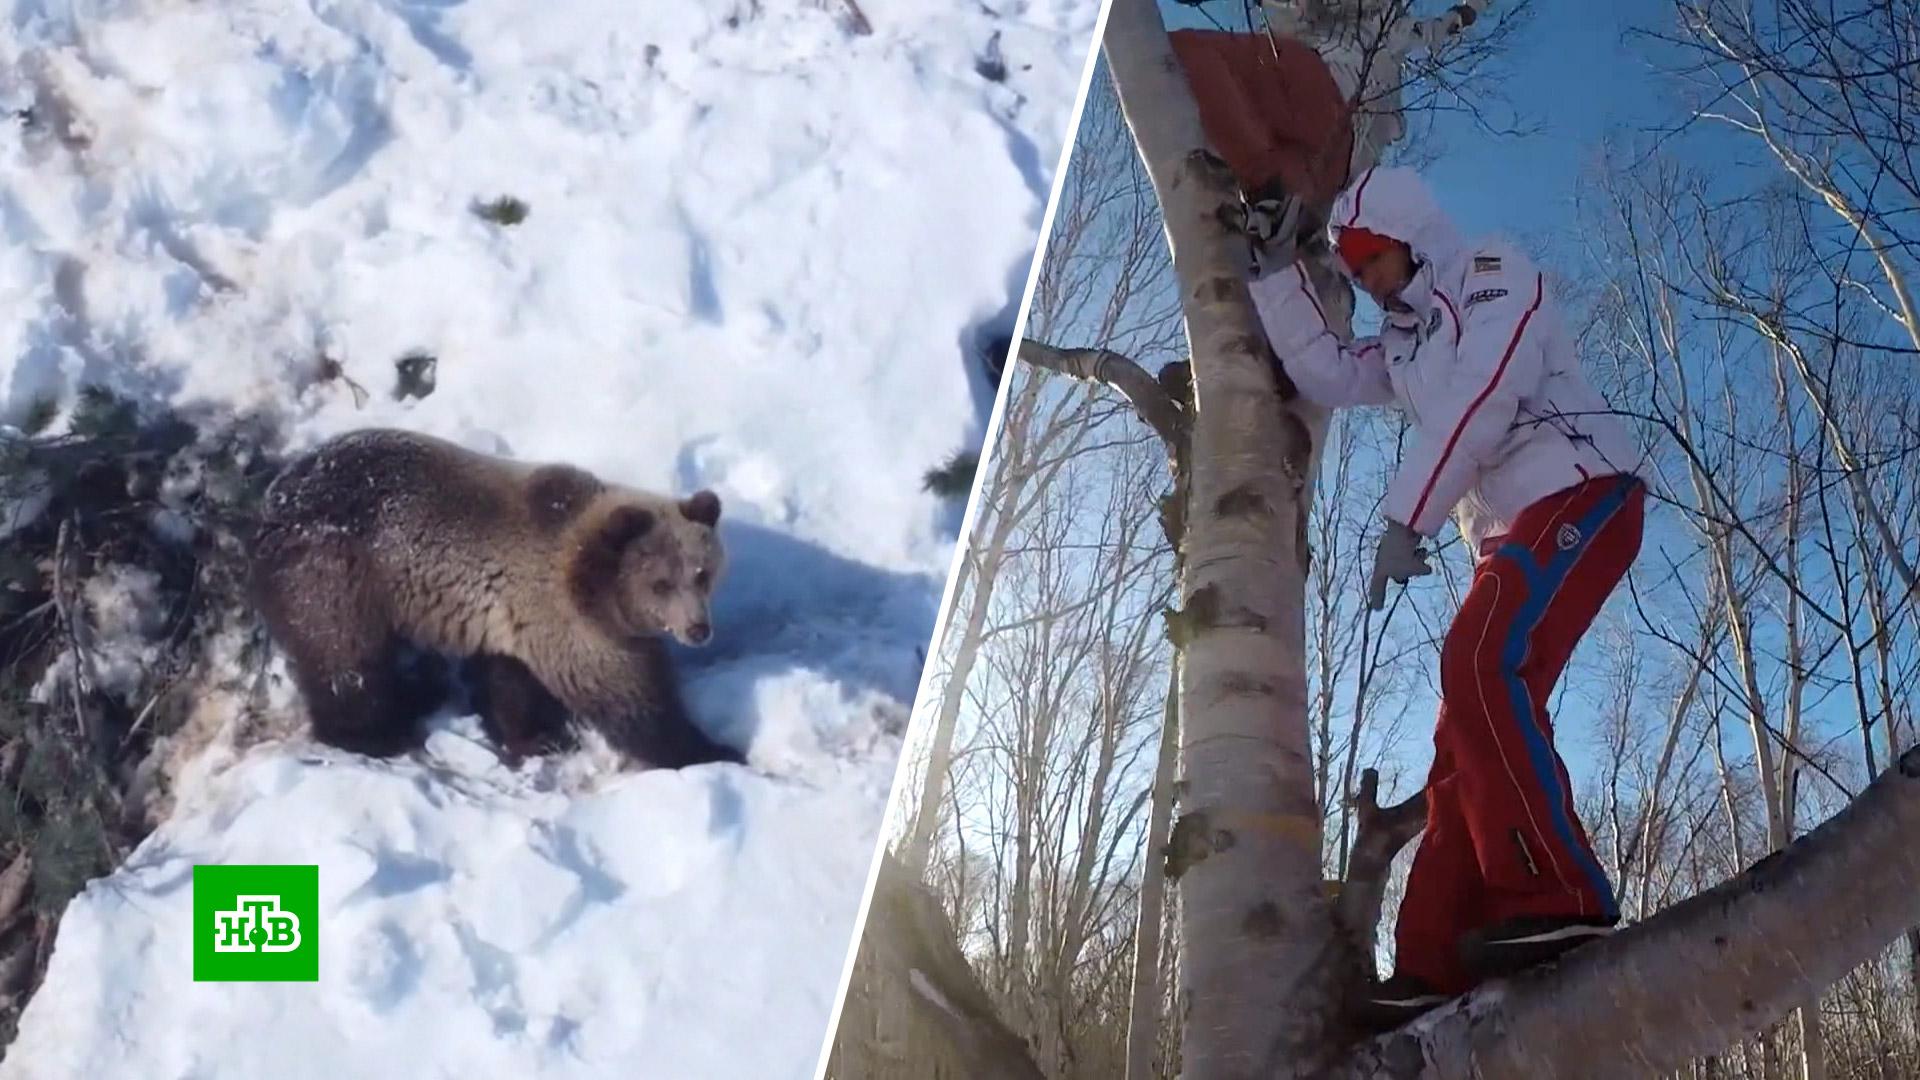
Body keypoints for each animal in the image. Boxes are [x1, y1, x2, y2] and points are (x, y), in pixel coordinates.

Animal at [247, 424, 741, 768]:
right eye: (660, 582)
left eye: (702, 573)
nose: (698, 629)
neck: (589, 584)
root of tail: (271, 500)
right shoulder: (570, 622)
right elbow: (630, 700)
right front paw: (714, 750)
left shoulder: (519, 621)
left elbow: (510, 684)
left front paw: (534, 735)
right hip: (335, 571)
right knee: (344, 659)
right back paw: (375, 732)